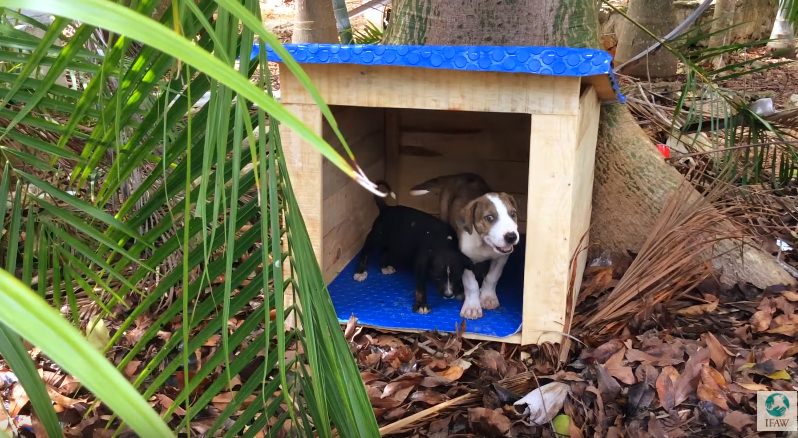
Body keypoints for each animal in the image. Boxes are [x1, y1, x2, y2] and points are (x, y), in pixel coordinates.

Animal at [356, 183, 476, 314]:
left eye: (457, 277)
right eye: (438, 277)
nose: (448, 295)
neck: (443, 244)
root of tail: (386, 208)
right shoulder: (421, 264)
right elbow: (420, 287)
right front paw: (422, 305)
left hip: (393, 241)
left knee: (384, 251)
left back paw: (384, 267)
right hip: (376, 236)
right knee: (366, 251)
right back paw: (360, 272)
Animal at [410, 173, 520, 320]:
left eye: (513, 214)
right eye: (489, 218)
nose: (511, 237)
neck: (484, 244)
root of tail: (459, 175)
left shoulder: (501, 258)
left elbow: (492, 277)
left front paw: (488, 298)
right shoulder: (465, 260)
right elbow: (471, 284)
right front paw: (472, 307)